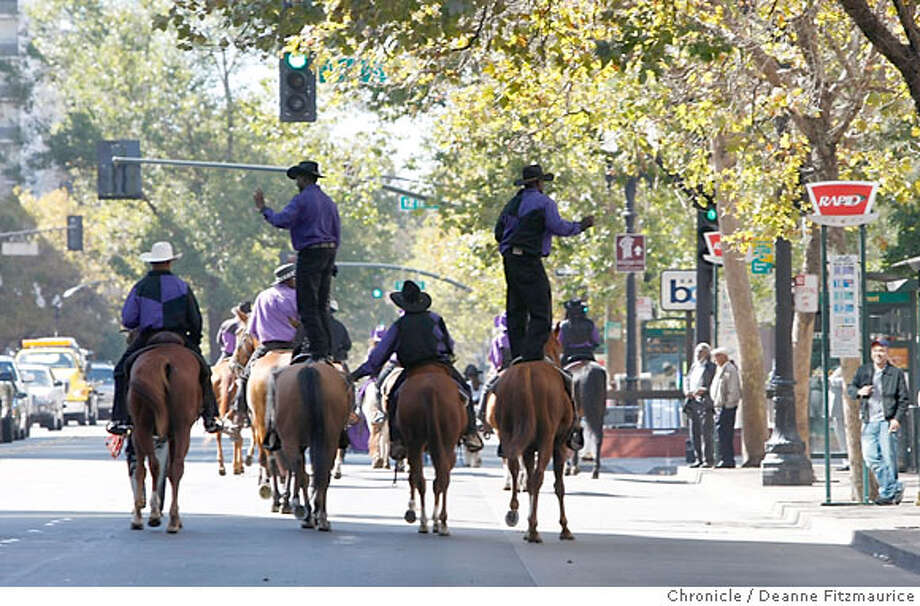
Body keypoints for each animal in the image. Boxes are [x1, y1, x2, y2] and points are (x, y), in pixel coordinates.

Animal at [126, 332, 200, 536]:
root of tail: (163, 360)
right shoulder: (172, 434)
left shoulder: (136, 433)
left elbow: (140, 470)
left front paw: (138, 516)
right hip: (181, 428)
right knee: (175, 468)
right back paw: (173, 520)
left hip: (143, 426)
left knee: (154, 465)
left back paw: (154, 515)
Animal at [270, 360, 352, 532]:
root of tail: (310, 369)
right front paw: (317, 514)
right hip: (327, 440)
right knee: (318, 474)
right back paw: (317, 516)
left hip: (292, 440)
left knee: (300, 471)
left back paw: (303, 510)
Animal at [398, 364, 468, 536]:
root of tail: (430, 391)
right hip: (444, 443)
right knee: (440, 480)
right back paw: (440, 522)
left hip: (416, 443)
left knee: (422, 479)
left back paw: (426, 522)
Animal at [486, 340, 572, 544]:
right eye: (559, 346)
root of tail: (526, 373)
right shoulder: (559, 445)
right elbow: (559, 486)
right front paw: (564, 527)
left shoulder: (528, 449)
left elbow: (528, 477)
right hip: (547, 440)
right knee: (539, 477)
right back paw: (533, 530)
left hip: (508, 433)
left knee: (515, 467)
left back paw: (514, 511)